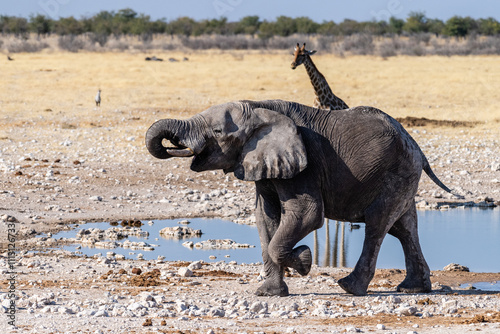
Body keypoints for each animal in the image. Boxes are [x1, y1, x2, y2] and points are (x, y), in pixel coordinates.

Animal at [146, 98, 454, 294]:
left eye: (218, 131)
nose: (172, 145)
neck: (258, 107)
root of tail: (417, 146)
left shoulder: (305, 164)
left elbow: (307, 214)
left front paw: (304, 261)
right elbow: (265, 218)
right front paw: (269, 293)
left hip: (396, 173)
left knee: (378, 226)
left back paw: (349, 288)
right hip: (403, 175)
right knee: (404, 228)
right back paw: (413, 288)